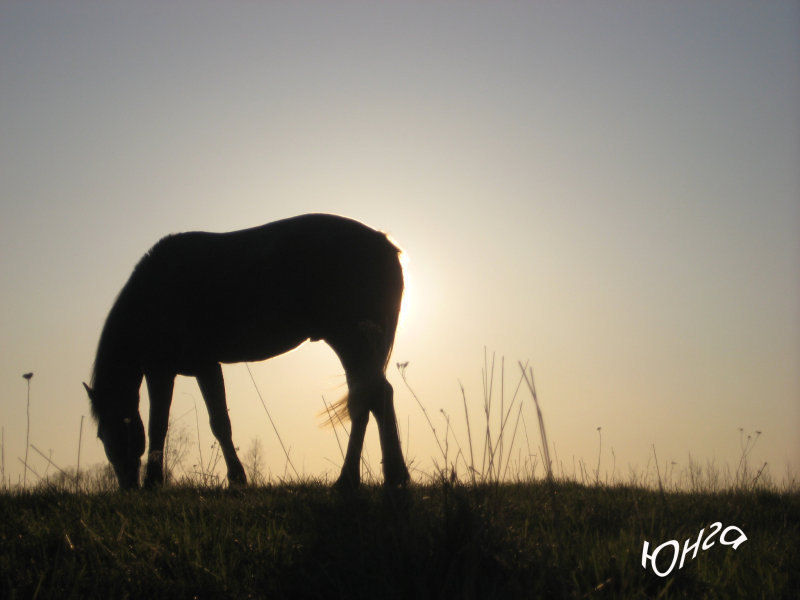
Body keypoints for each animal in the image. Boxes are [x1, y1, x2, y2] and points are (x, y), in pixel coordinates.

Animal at [82, 213, 410, 490]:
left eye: (118, 428)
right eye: (100, 436)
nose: (127, 486)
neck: (155, 295)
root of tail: (384, 244)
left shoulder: (173, 369)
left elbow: (176, 425)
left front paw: (160, 482)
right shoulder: (192, 368)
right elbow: (206, 424)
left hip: (351, 341)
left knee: (367, 399)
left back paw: (351, 480)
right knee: (374, 397)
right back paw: (390, 477)